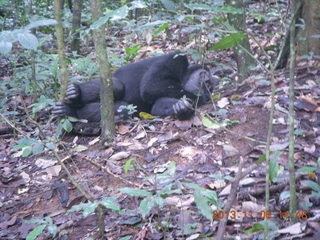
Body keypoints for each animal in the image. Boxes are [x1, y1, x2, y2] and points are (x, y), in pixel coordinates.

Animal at [52, 52, 214, 122]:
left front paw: (183, 109)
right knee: (117, 87)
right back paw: (75, 97)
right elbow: (151, 85)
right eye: (206, 82)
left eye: (210, 88)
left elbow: (158, 106)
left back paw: (69, 110)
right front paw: (194, 100)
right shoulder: (176, 58)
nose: (207, 93)